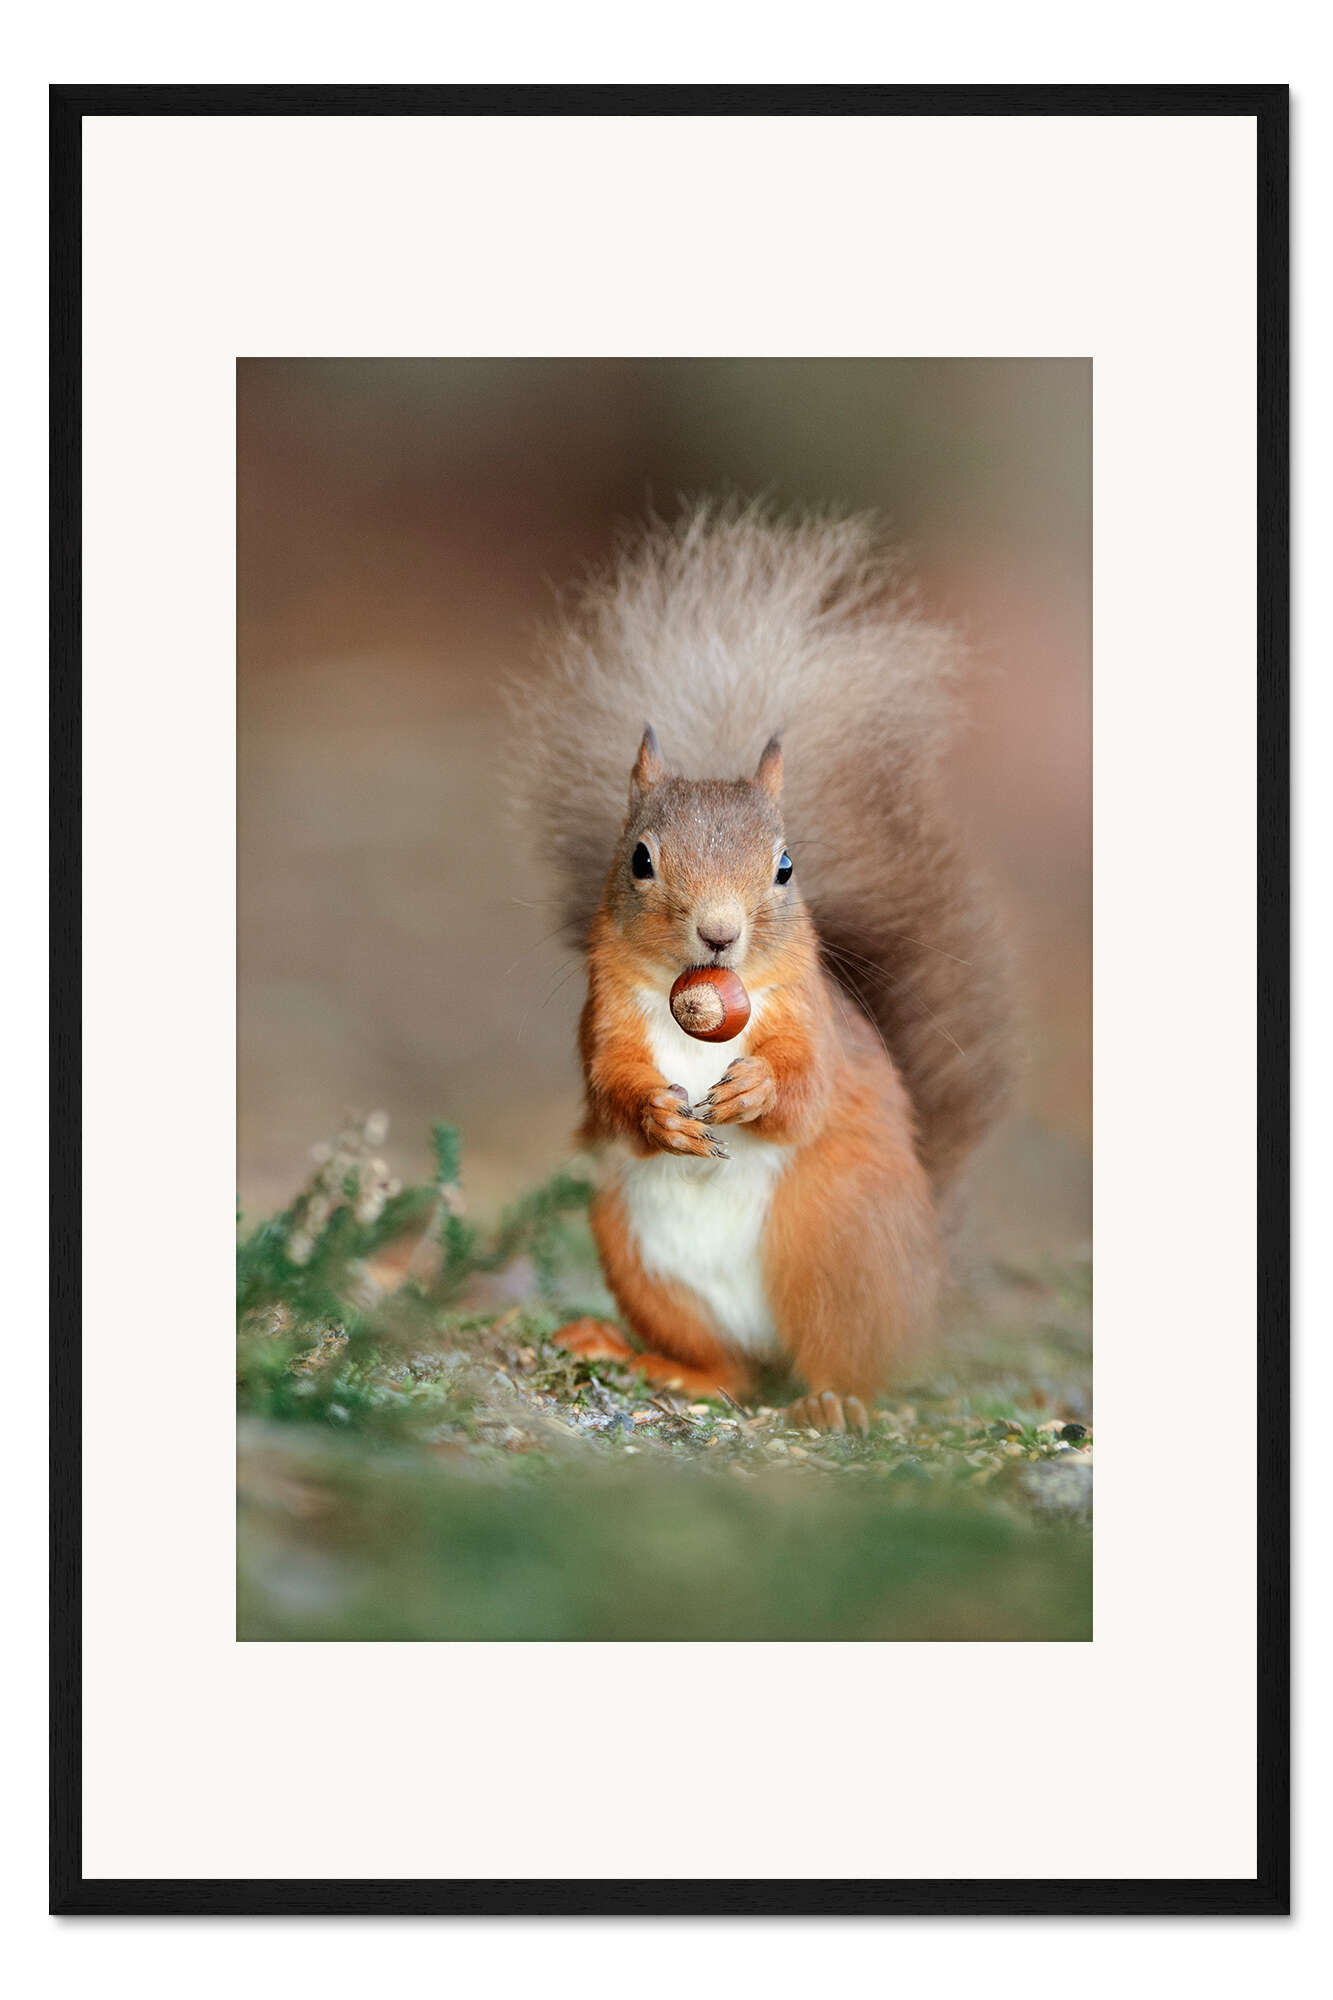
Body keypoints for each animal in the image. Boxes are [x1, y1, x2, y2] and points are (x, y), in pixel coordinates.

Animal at [511, 501, 1016, 1430]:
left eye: (785, 868)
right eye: (639, 858)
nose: (718, 934)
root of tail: (926, 1284)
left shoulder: (813, 1019)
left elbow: (805, 1087)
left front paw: (752, 1091)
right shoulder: (605, 1015)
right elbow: (611, 1085)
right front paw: (658, 1114)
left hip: (838, 1243)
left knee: (839, 1361)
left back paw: (835, 1402)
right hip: (637, 1253)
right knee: (732, 1371)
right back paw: (646, 1359)